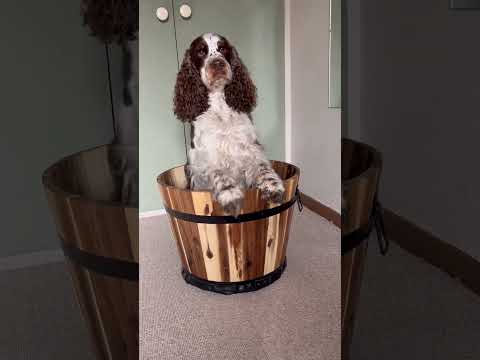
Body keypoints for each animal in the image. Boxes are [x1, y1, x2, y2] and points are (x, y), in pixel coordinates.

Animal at [173, 33, 284, 214]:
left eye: (223, 48)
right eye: (201, 51)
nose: (217, 63)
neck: (220, 106)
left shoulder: (250, 146)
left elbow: (263, 166)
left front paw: (272, 185)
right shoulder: (205, 156)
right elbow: (219, 172)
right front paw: (231, 194)